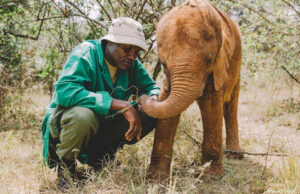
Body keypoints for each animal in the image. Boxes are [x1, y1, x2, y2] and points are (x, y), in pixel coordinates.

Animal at [141, 0, 244, 182]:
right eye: (163, 64)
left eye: (209, 60)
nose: (145, 97)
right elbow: (167, 112)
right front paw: (156, 179)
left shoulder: (218, 66)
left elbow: (211, 107)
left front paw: (210, 177)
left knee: (231, 103)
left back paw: (235, 154)